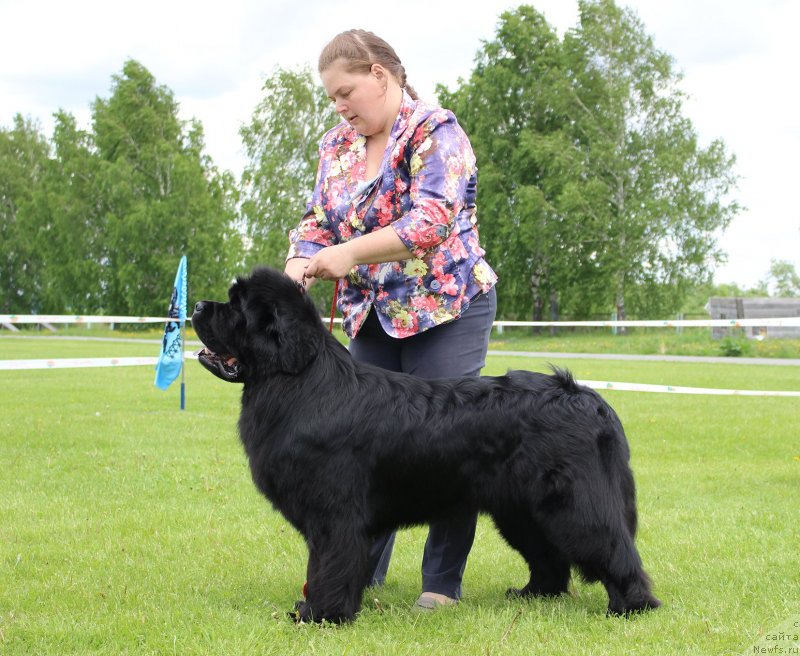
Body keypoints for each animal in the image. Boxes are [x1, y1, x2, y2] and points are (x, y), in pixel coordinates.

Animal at [191, 266, 660, 620]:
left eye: (237, 307)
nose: (195, 306)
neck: (301, 381)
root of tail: (585, 396)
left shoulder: (335, 514)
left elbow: (329, 565)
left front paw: (321, 615)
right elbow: (323, 565)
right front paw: (311, 608)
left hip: (572, 504)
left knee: (612, 548)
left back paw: (631, 605)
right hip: (521, 508)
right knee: (549, 556)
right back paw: (534, 594)